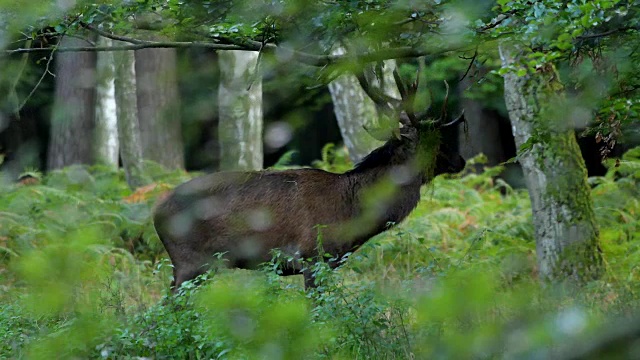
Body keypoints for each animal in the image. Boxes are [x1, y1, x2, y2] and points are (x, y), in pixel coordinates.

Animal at [154, 67, 464, 292]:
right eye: (433, 142)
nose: (460, 160)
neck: (351, 214)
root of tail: (156, 213)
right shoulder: (313, 257)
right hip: (190, 261)